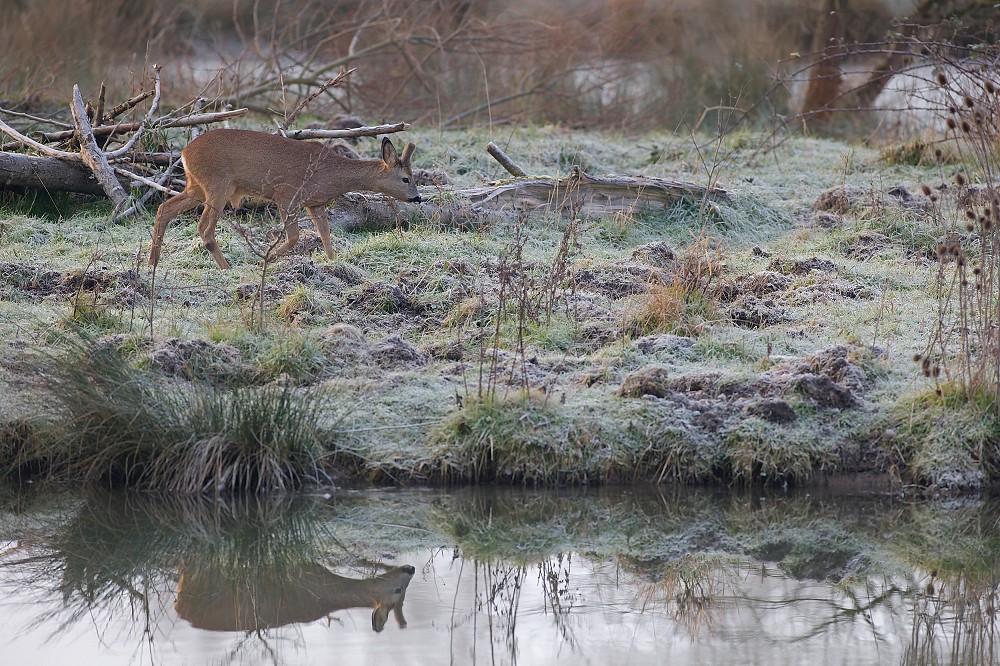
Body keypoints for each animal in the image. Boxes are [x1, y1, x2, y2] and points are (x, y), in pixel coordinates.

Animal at [146, 127, 420, 268]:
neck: (330, 173)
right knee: (204, 227)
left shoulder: (315, 203)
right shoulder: (286, 195)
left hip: (196, 186)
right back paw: (226, 267)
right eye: (406, 179)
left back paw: (152, 261)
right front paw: (266, 261)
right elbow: (294, 237)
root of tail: (184, 152)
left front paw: (333, 263)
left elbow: (326, 235)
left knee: (164, 209)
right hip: (218, 184)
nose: (418, 198)